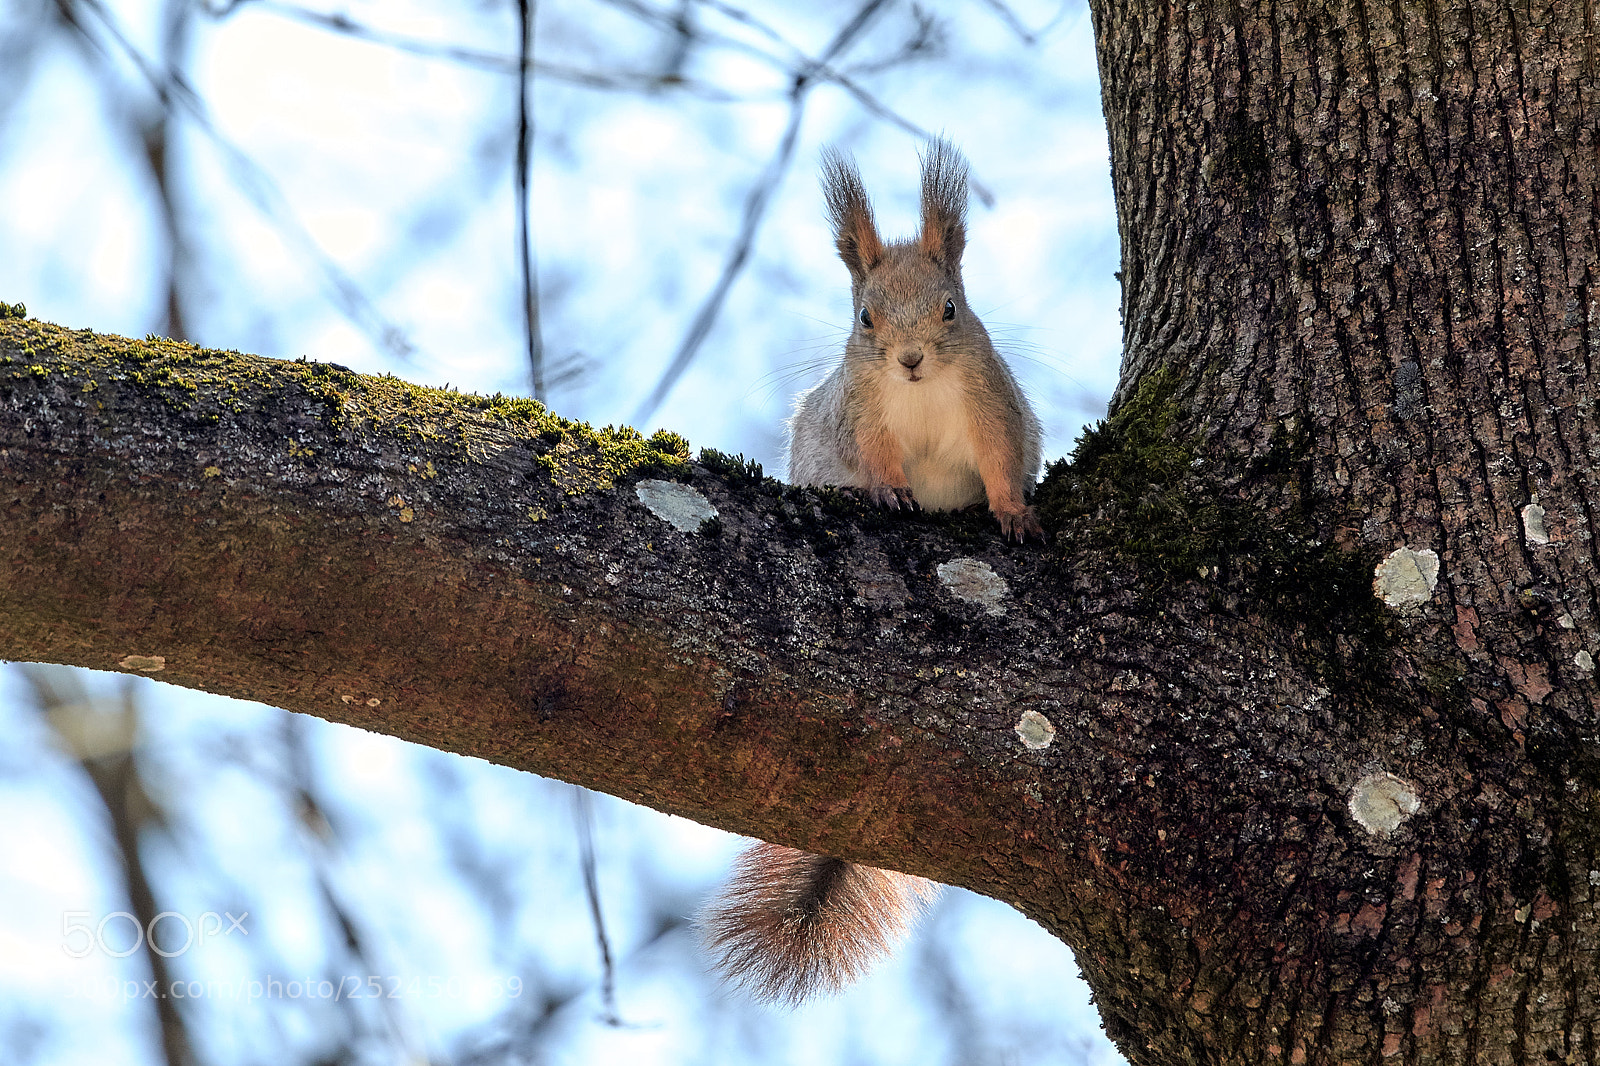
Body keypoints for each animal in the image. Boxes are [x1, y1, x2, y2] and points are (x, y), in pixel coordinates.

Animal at [697, 140, 1043, 1005]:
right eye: (865, 318)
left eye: (951, 308)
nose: (911, 360)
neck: (921, 394)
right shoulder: (863, 417)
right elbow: (880, 459)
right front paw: (888, 492)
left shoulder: (992, 407)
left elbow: (1000, 466)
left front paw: (1014, 513)